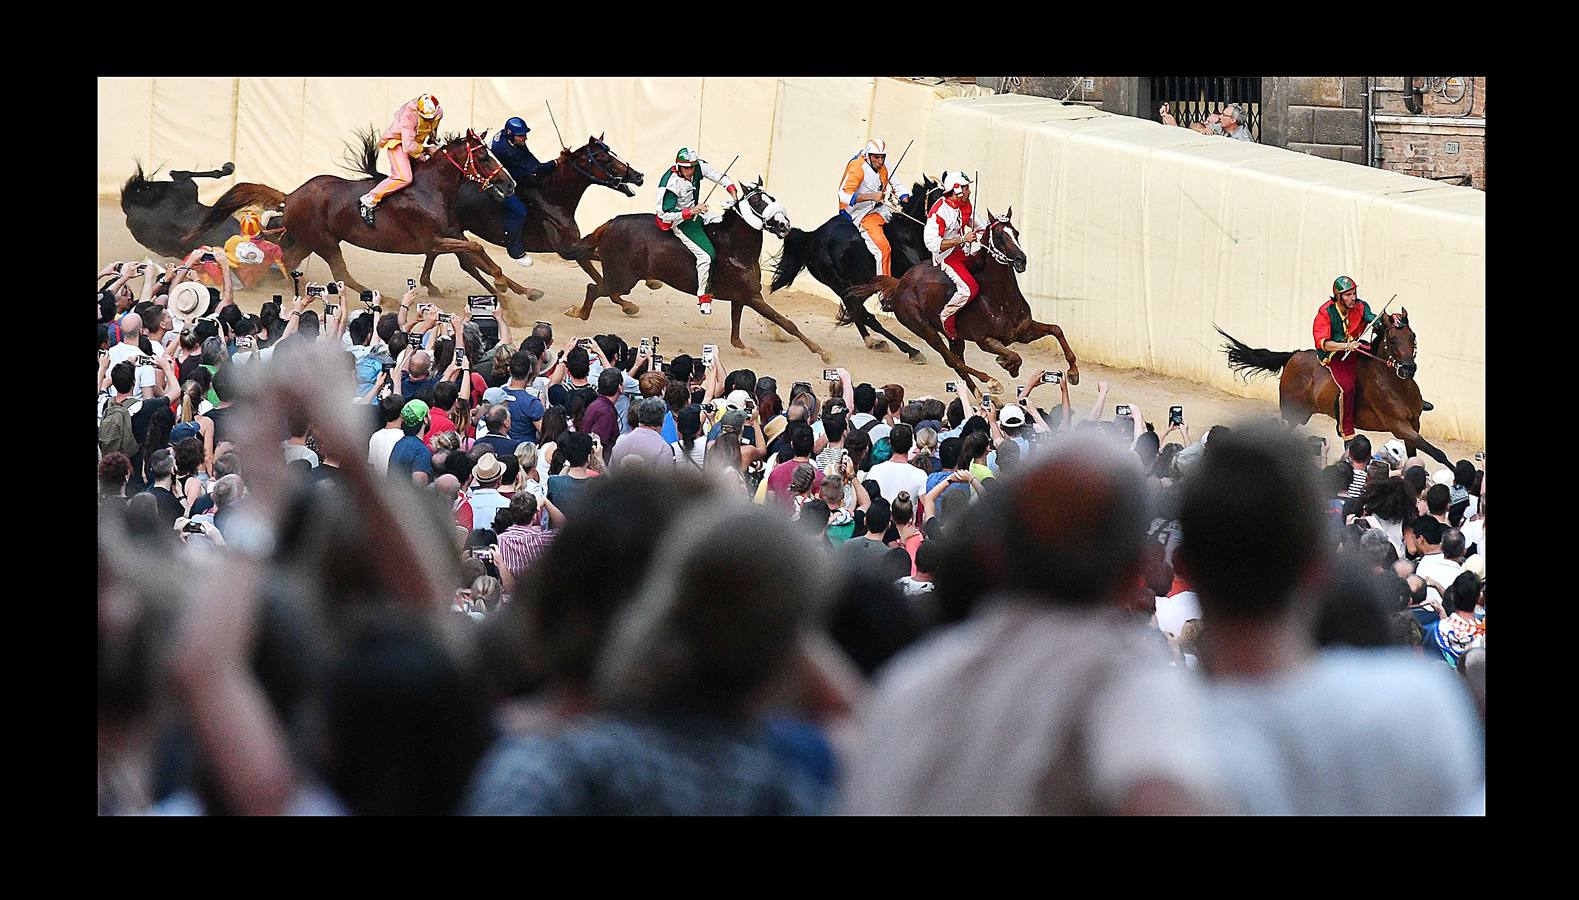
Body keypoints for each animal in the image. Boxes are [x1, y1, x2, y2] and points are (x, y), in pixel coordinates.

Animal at [568, 178, 840, 361]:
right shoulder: (753, 297)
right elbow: (786, 323)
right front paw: (823, 352)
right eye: (756, 201)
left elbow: (736, 329)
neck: (735, 247)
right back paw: (580, 313)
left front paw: (744, 347)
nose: (784, 224)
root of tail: (611, 223)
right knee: (594, 287)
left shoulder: (741, 297)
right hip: (623, 278)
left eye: (771, 198)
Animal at [773, 173, 934, 358]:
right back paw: (908, 350)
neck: (909, 233)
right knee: (865, 316)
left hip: (857, 287)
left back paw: (874, 342)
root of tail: (811, 237)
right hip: (841, 285)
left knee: (857, 313)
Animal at [846, 210, 1080, 396]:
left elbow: (1056, 330)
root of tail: (901, 281)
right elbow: (1014, 356)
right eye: (999, 236)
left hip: (955, 338)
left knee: (957, 363)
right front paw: (1007, 364)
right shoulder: (985, 340)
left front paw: (1073, 373)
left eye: (1016, 233)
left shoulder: (1023, 332)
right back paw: (991, 383)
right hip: (923, 328)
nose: (1020, 260)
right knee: (952, 360)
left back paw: (982, 396)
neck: (1000, 299)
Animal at [1212, 307, 1446, 461]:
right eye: (1393, 339)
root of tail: (1293, 356)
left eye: (1412, 337)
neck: (1395, 385)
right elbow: (1438, 453)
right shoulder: (1399, 427)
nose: (1408, 368)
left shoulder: (1414, 425)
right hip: (1294, 414)